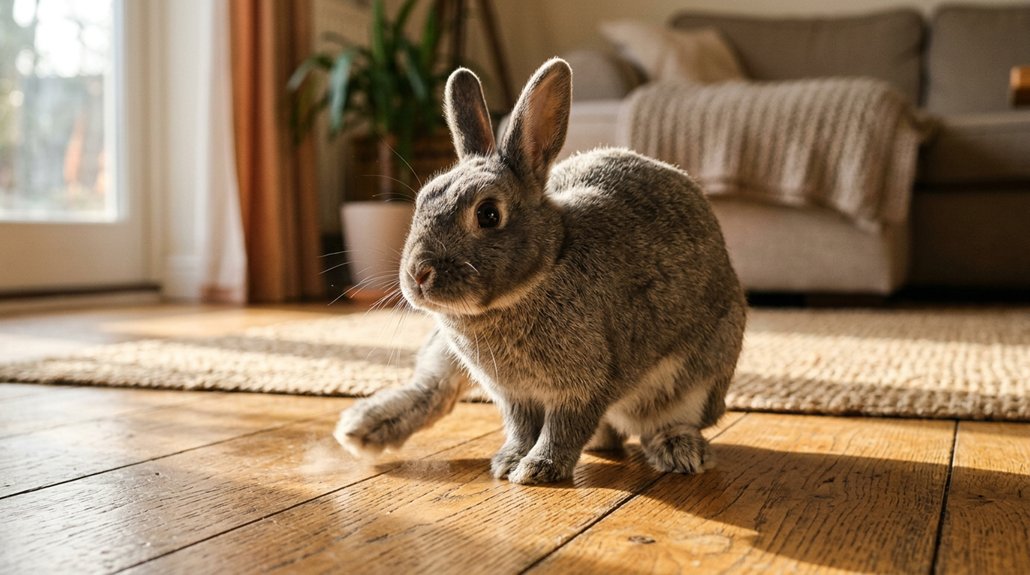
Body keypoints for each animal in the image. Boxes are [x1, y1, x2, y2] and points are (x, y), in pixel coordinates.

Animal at [334, 58, 747, 485]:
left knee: (667, 420)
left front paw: (538, 469)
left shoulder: (585, 386)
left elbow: (563, 427)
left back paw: (678, 451)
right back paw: (360, 428)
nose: (418, 275)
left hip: (701, 376)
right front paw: (509, 461)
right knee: (435, 388)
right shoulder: (514, 395)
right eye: (421, 201)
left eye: (488, 214)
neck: (546, 268)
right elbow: (521, 427)